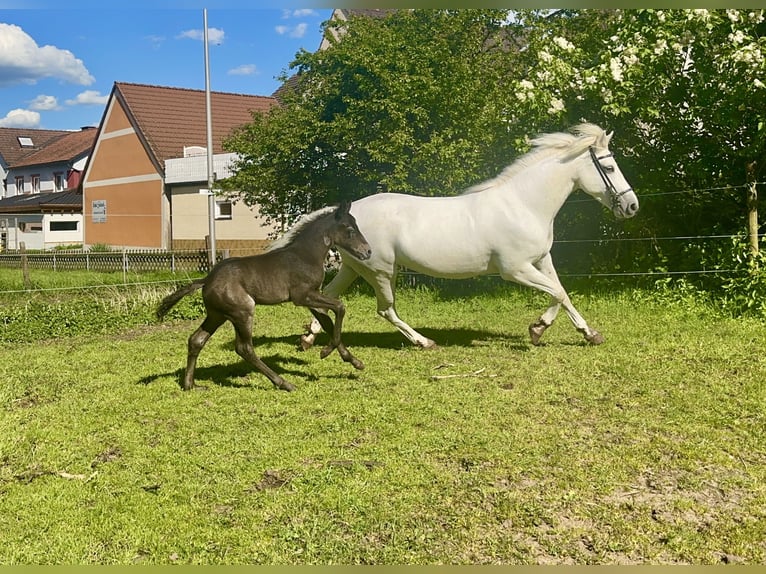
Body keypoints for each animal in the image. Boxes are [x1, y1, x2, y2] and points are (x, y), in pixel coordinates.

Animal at [304, 125, 640, 352]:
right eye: (609, 166)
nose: (632, 206)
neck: (523, 204)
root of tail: (348, 213)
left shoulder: (541, 259)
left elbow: (562, 293)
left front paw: (589, 334)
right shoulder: (515, 269)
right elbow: (556, 293)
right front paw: (537, 329)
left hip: (354, 268)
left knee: (329, 297)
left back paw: (308, 337)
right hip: (382, 271)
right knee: (385, 310)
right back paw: (424, 342)